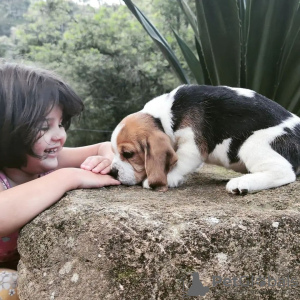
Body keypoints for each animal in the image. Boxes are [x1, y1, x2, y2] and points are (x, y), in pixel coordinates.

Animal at [110, 83, 300, 193]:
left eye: (128, 154)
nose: (112, 172)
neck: (166, 115)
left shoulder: (191, 146)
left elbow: (181, 162)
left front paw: (164, 178)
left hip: (252, 143)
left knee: (284, 172)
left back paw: (242, 184)